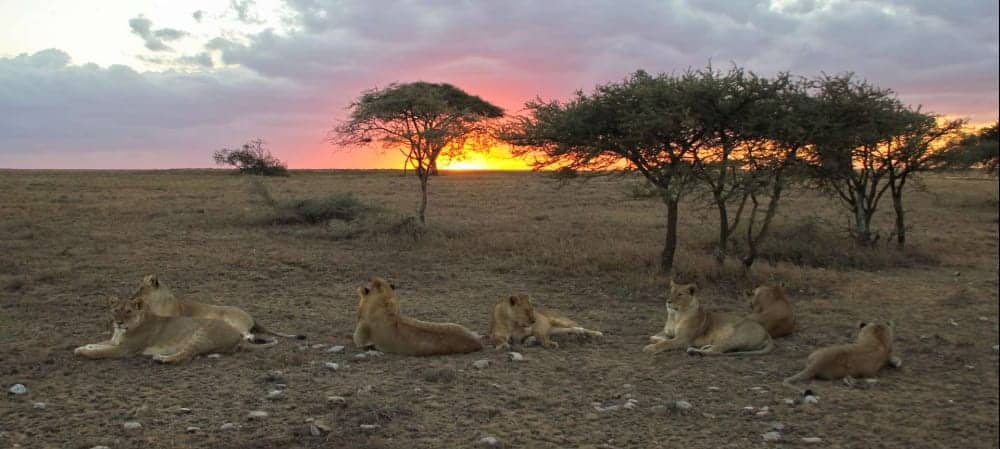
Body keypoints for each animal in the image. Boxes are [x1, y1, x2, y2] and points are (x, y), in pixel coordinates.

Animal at [74, 295, 272, 363]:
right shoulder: (115, 342)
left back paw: (162, 359)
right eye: (115, 311)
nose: (119, 322)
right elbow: (99, 344)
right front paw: (83, 346)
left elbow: (101, 351)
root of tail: (238, 336)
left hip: (201, 335)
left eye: (129, 311)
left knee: (185, 356)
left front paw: (84, 352)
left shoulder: (125, 350)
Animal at [131, 274, 303, 343]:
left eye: (141, 288)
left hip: (233, 321)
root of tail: (252, 317)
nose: (132, 297)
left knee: (248, 334)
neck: (155, 303)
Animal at [643, 281, 773, 356]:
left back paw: (694, 351)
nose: (668, 301)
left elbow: (666, 343)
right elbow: (653, 337)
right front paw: (656, 340)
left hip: (736, 337)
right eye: (671, 292)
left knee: (717, 351)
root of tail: (767, 333)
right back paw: (703, 347)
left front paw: (651, 347)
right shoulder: (668, 333)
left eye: (680, 294)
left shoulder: (683, 339)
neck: (675, 316)